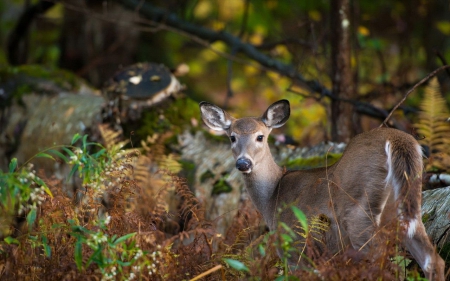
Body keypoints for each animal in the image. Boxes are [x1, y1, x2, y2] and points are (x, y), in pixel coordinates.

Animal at [200, 98, 446, 278]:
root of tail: (397, 141)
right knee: (432, 259)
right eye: (232, 137)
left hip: (359, 210)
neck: (273, 197)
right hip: (407, 207)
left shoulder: (295, 244)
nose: (243, 163)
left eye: (260, 137)